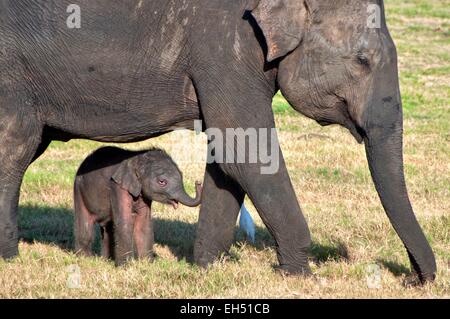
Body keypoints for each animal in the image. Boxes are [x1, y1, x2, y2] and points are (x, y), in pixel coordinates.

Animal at [74, 146, 202, 266]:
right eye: (162, 182)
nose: (198, 182)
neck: (137, 158)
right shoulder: (118, 187)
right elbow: (124, 222)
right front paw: (125, 267)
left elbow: (143, 223)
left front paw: (148, 264)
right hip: (79, 190)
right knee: (85, 226)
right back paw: (85, 259)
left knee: (107, 228)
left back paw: (106, 260)